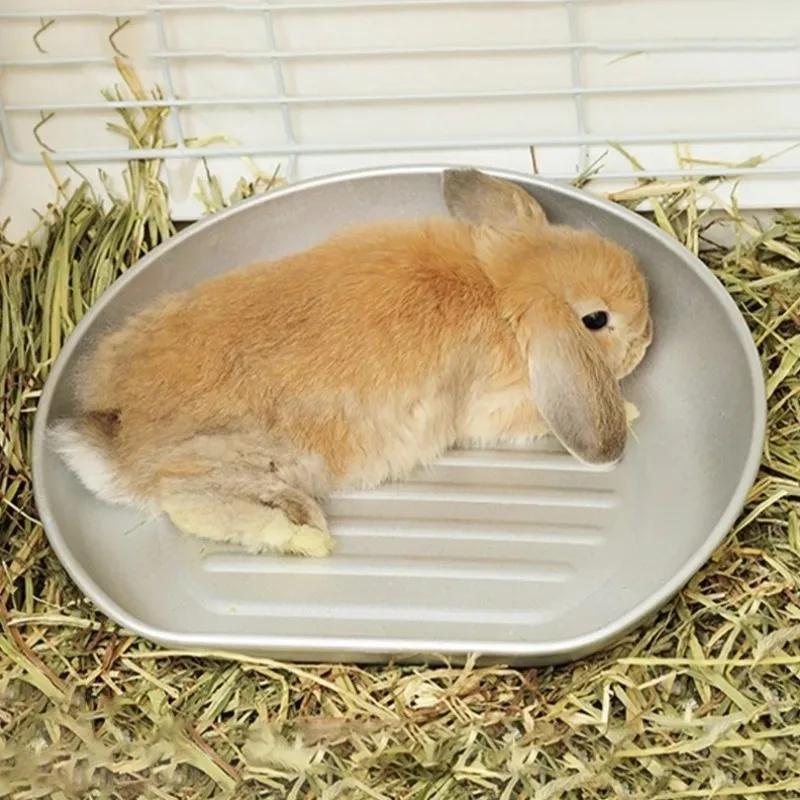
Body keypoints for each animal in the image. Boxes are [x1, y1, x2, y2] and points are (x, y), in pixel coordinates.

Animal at [51, 168, 653, 558]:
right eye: (596, 320)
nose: (648, 338)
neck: (502, 285)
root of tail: (120, 441)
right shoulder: (493, 410)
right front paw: (630, 412)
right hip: (243, 464)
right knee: (190, 501)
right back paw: (307, 536)